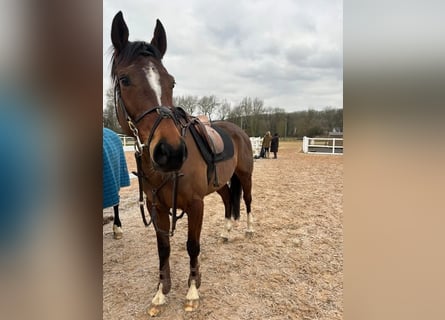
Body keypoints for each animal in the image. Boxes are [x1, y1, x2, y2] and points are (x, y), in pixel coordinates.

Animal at [110, 11, 253, 316]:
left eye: (171, 81)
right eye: (125, 79)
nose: (171, 152)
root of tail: (238, 129)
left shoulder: (196, 205)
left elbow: (192, 246)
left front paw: (192, 290)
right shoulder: (157, 207)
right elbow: (163, 248)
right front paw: (160, 293)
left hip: (245, 176)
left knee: (246, 200)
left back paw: (248, 229)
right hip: (221, 184)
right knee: (228, 201)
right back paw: (226, 233)